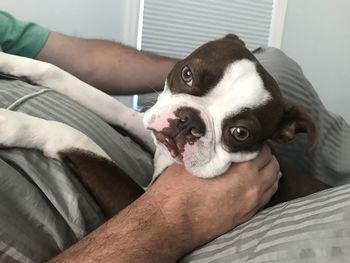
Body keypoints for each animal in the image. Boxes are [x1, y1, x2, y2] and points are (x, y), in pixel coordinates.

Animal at [0, 34, 328, 218]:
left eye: (240, 133)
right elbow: (61, 75)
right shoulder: (147, 129)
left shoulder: (133, 202)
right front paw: (9, 59)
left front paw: (12, 123)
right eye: (187, 74)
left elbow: (76, 137)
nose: (189, 122)